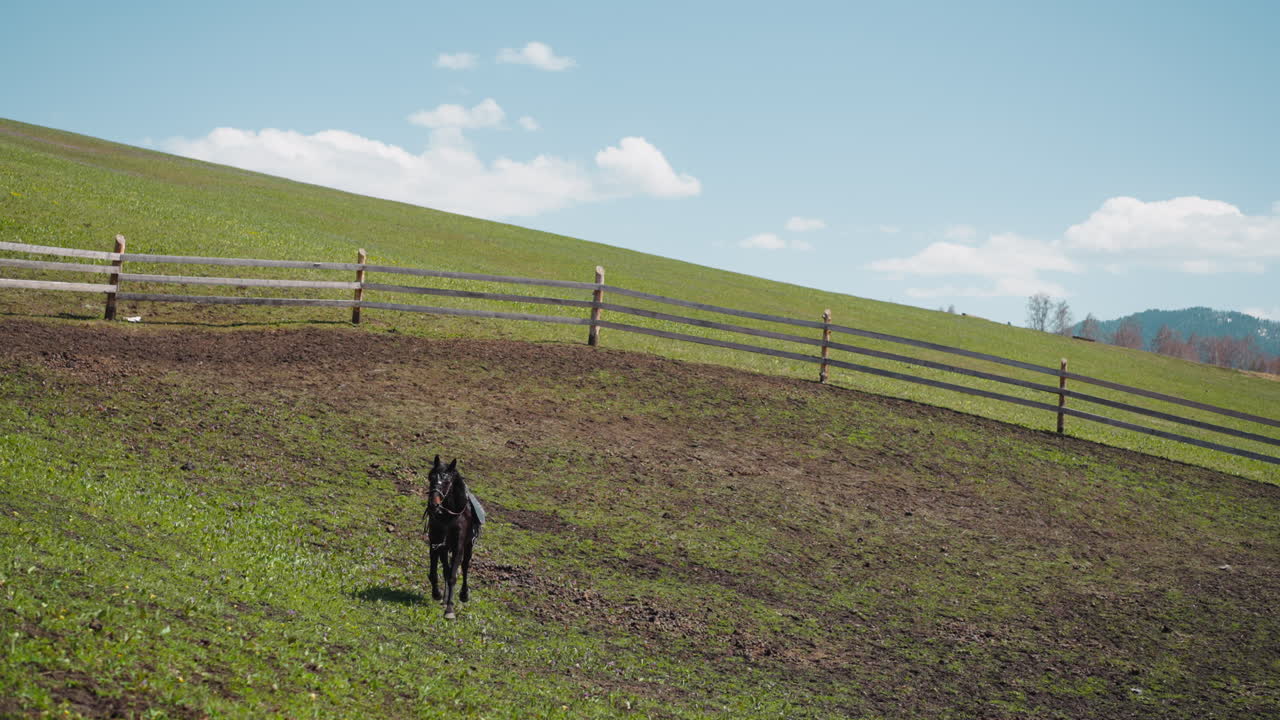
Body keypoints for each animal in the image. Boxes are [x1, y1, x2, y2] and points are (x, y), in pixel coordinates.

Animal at [422, 456, 482, 619]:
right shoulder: (435, 543)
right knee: (446, 569)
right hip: (444, 548)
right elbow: (435, 573)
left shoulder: (458, 548)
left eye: (447, 481)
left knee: (465, 566)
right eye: (430, 477)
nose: (433, 505)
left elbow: (452, 576)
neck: (448, 517)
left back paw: (463, 595)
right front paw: (437, 594)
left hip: (468, 547)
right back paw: (444, 598)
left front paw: (449, 610)